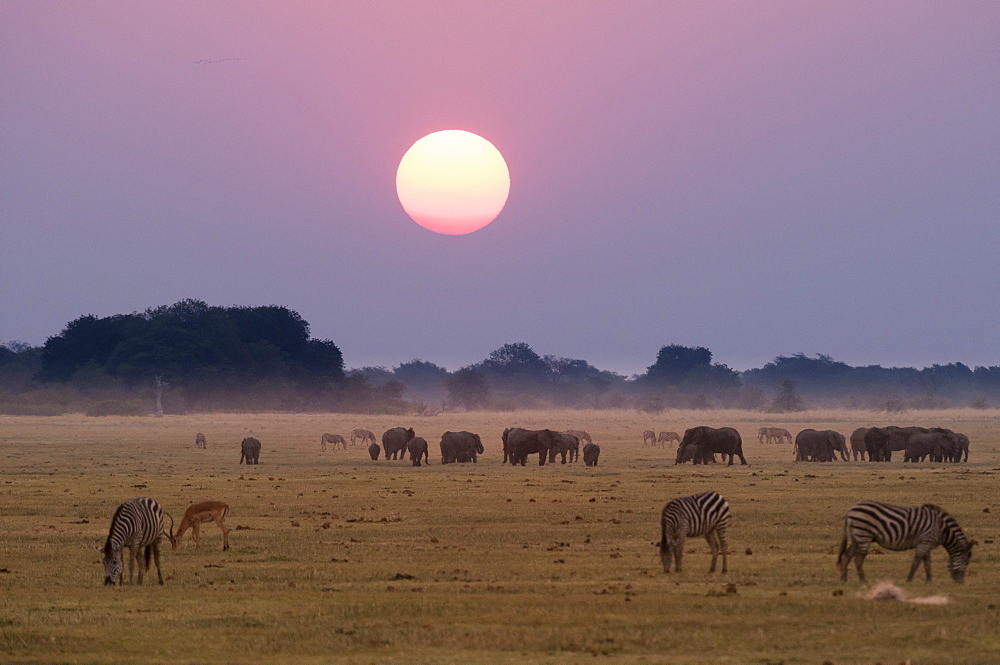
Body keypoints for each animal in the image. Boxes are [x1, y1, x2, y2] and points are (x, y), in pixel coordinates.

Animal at [836, 504, 976, 580]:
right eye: (966, 562)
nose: (961, 583)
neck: (942, 528)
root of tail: (850, 511)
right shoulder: (925, 541)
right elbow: (917, 561)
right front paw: (909, 580)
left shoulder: (927, 543)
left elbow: (927, 563)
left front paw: (929, 581)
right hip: (863, 535)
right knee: (858, 559)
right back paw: (863, 581)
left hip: (857, 537)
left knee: (846, 556)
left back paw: (844, 579)